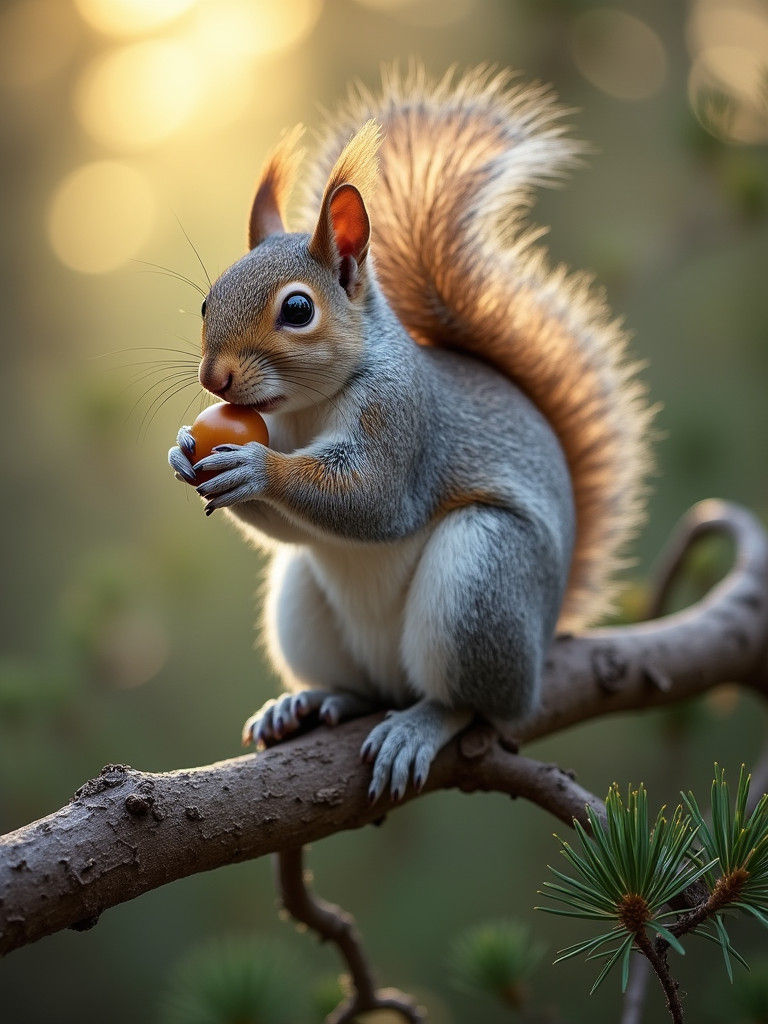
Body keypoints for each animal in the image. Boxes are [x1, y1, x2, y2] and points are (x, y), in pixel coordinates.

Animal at [168, 66, 654, 803]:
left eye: (298, 309)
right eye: (205, 300)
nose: (214, 377)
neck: (308, 409)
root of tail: (542, 642)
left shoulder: (402, 420)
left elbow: (373, 498)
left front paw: (257, 470)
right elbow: (290, 528)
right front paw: (183, 453)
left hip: (481, 579)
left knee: (472, 702)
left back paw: (421, 724)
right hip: (301, 605)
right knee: (363, 687)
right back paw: (313, 700)